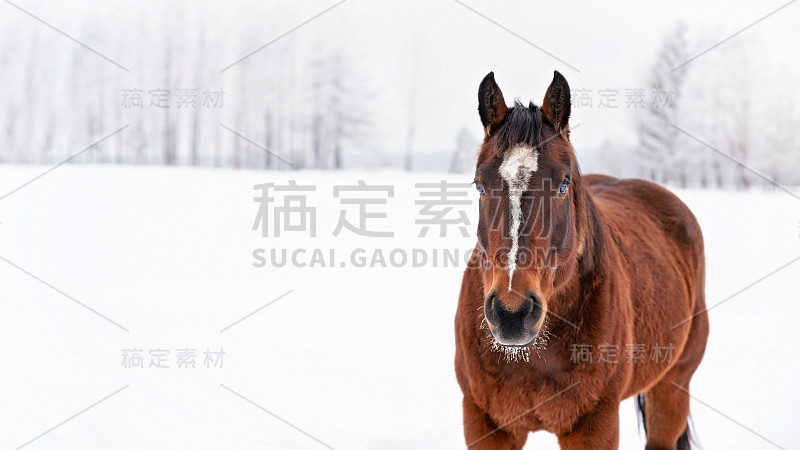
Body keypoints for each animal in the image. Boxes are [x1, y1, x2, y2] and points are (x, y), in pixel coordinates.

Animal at [454, 72, 708, 448]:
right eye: (479, 184)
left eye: (563, 184)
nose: (512, 314)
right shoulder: (484, 423)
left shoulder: (594, 425)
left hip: (671, 388)